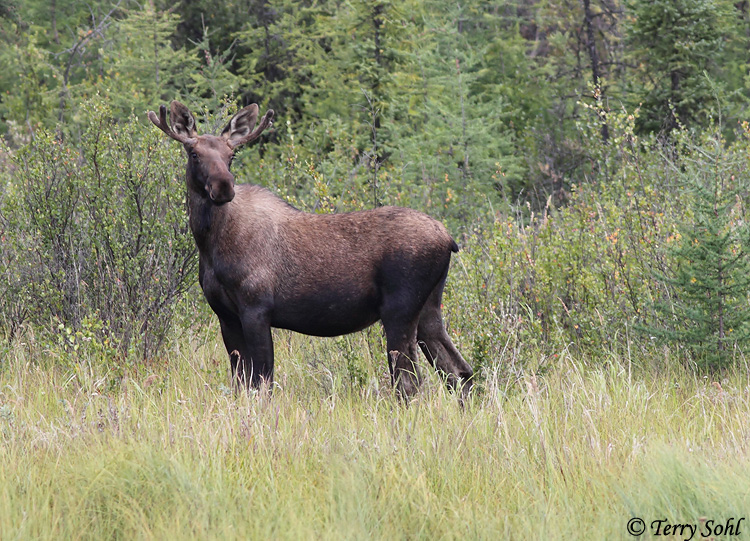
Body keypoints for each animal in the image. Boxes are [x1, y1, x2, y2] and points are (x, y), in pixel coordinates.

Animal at [148, 100, 473, 399]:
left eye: (232, 155)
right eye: (194, 153)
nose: (224, 186)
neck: (210, 245)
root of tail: (448, 240)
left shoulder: (256, 308)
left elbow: (262, 383)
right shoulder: (225, 314)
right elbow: (241, 384)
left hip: (399, 309)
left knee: (410, 383)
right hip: (429, 309)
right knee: (459, 372)